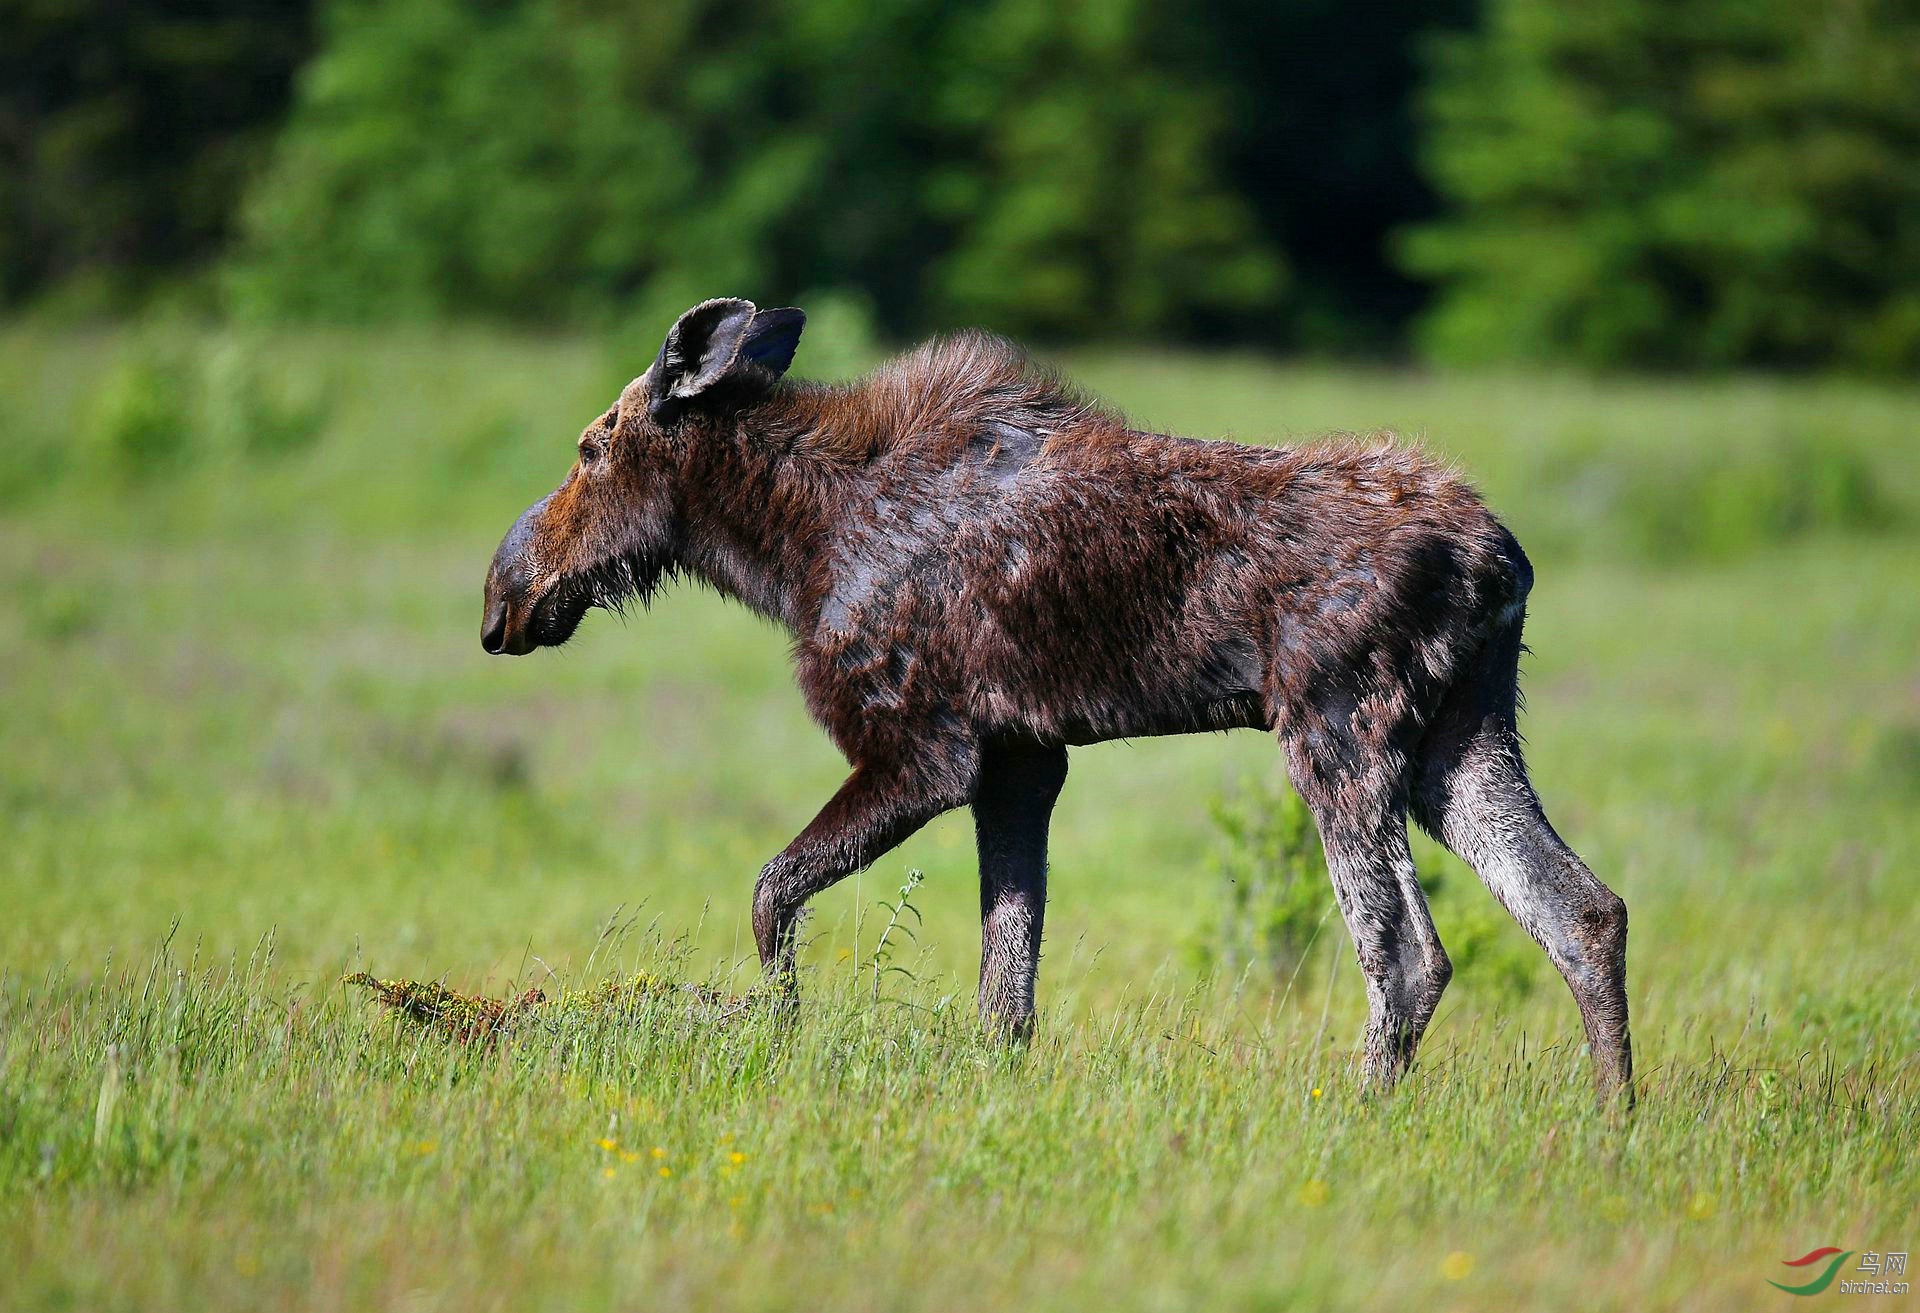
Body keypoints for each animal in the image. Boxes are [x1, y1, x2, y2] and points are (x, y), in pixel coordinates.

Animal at [483, 295, 1635, 1098]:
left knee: (1406, 952)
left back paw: (1361, 1118)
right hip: (1457, 739)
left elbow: (773, 893)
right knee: (1583, 908)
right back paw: (1613, 1120)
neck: (786, 549)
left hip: (1338, 730)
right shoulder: (1022, 760)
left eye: (592, 446)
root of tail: (1501, 559)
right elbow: (1007, 988)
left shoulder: (925, 748)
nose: (504, 594)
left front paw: (782, 1031)